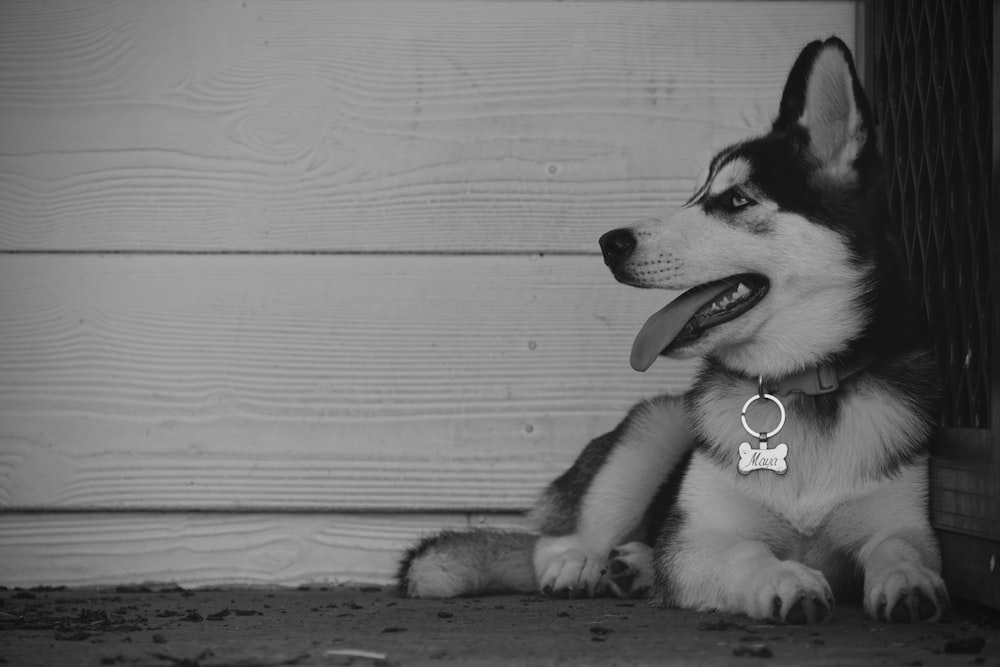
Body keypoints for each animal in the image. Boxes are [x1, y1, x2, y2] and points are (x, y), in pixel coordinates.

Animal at [394, 37, 948, 628]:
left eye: (735, 200)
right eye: (696, 193)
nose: (608, 244)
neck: (798, 386)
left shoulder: (900, 516)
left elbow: (901, 546)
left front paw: (909, 582)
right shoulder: (699, 538)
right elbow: (743, 553)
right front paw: (785, 579)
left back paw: (632, 567)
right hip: (650, 429)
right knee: (554, 542)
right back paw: (579, 566)